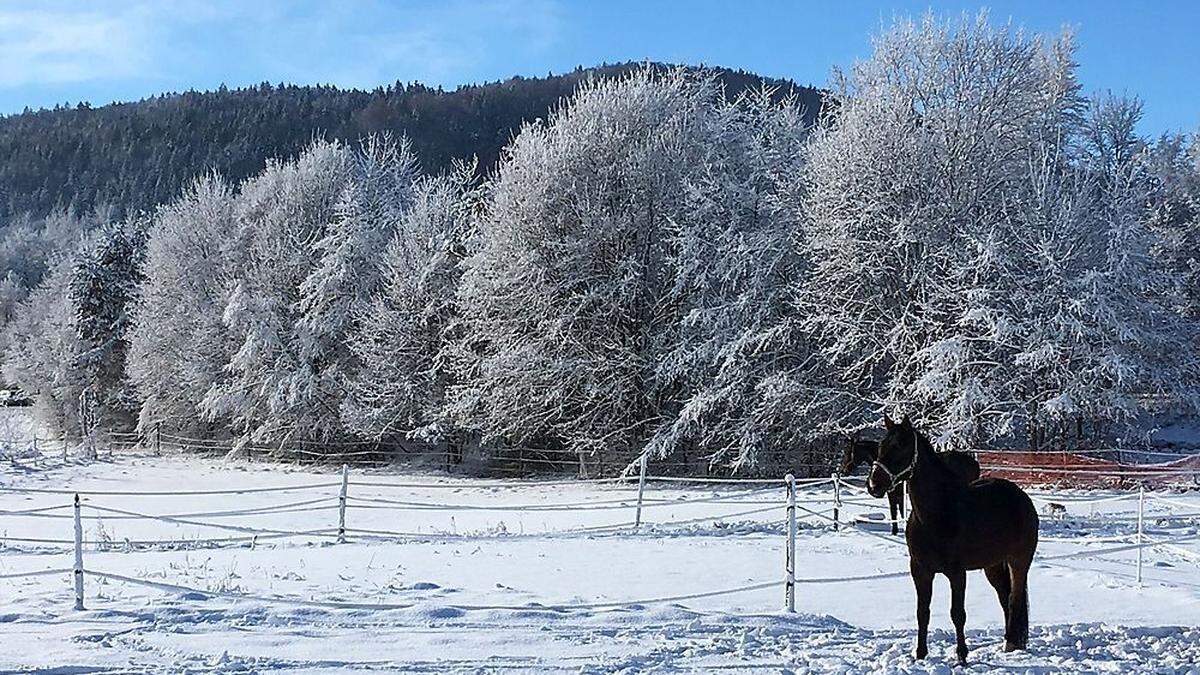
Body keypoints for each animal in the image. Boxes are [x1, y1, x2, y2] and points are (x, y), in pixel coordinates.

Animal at [840, 437, 979, 530]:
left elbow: (895, 512)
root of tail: (973, 462)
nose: (843, 470)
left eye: (848, 452)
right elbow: (900, 511)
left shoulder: (893, 494)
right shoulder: (899, 495)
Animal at [868, 415, 1036, 662]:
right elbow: (922, 612)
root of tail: (1021, 497)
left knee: (1014, 599)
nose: (874, 485)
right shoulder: (920, 570)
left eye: (900, 445)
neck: (937, 515)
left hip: (1019, 562)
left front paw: (962, 657)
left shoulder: (957, 573)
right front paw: (920, 654)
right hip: (993, 566)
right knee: (1005, 597)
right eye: (880, 446)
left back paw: (1013, 643)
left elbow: (958, 614)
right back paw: (1009, 643)